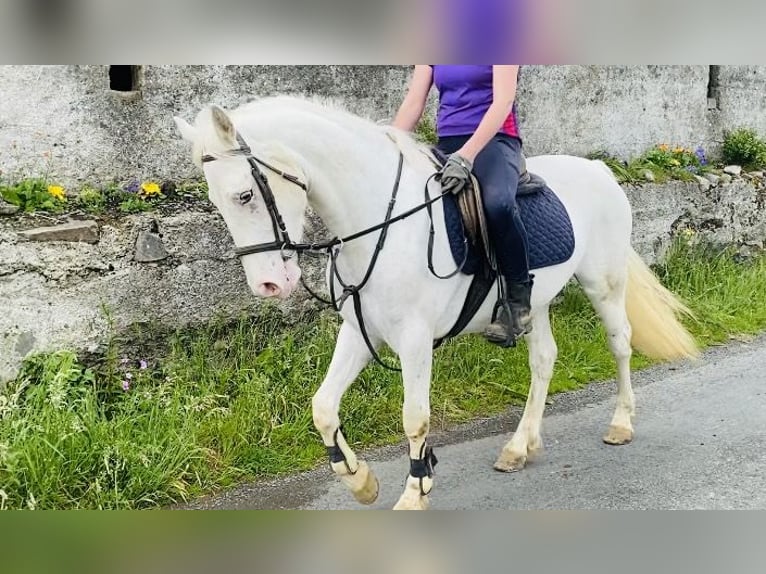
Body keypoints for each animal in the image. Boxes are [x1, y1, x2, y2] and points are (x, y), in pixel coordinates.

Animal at [176, 95, 704, 512]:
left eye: (245, 194)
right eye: (218, 202)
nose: (268, 285)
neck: (377, 223)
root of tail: (597, 169)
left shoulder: (414, 339)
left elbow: (415, 418)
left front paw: (415, 491)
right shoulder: (361, 332)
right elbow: (323, 406)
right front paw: (360, 481)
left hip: (603, 285)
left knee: (620, 344)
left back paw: (621, 423)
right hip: (536, 304)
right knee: (544, 360)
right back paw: (520, 446)